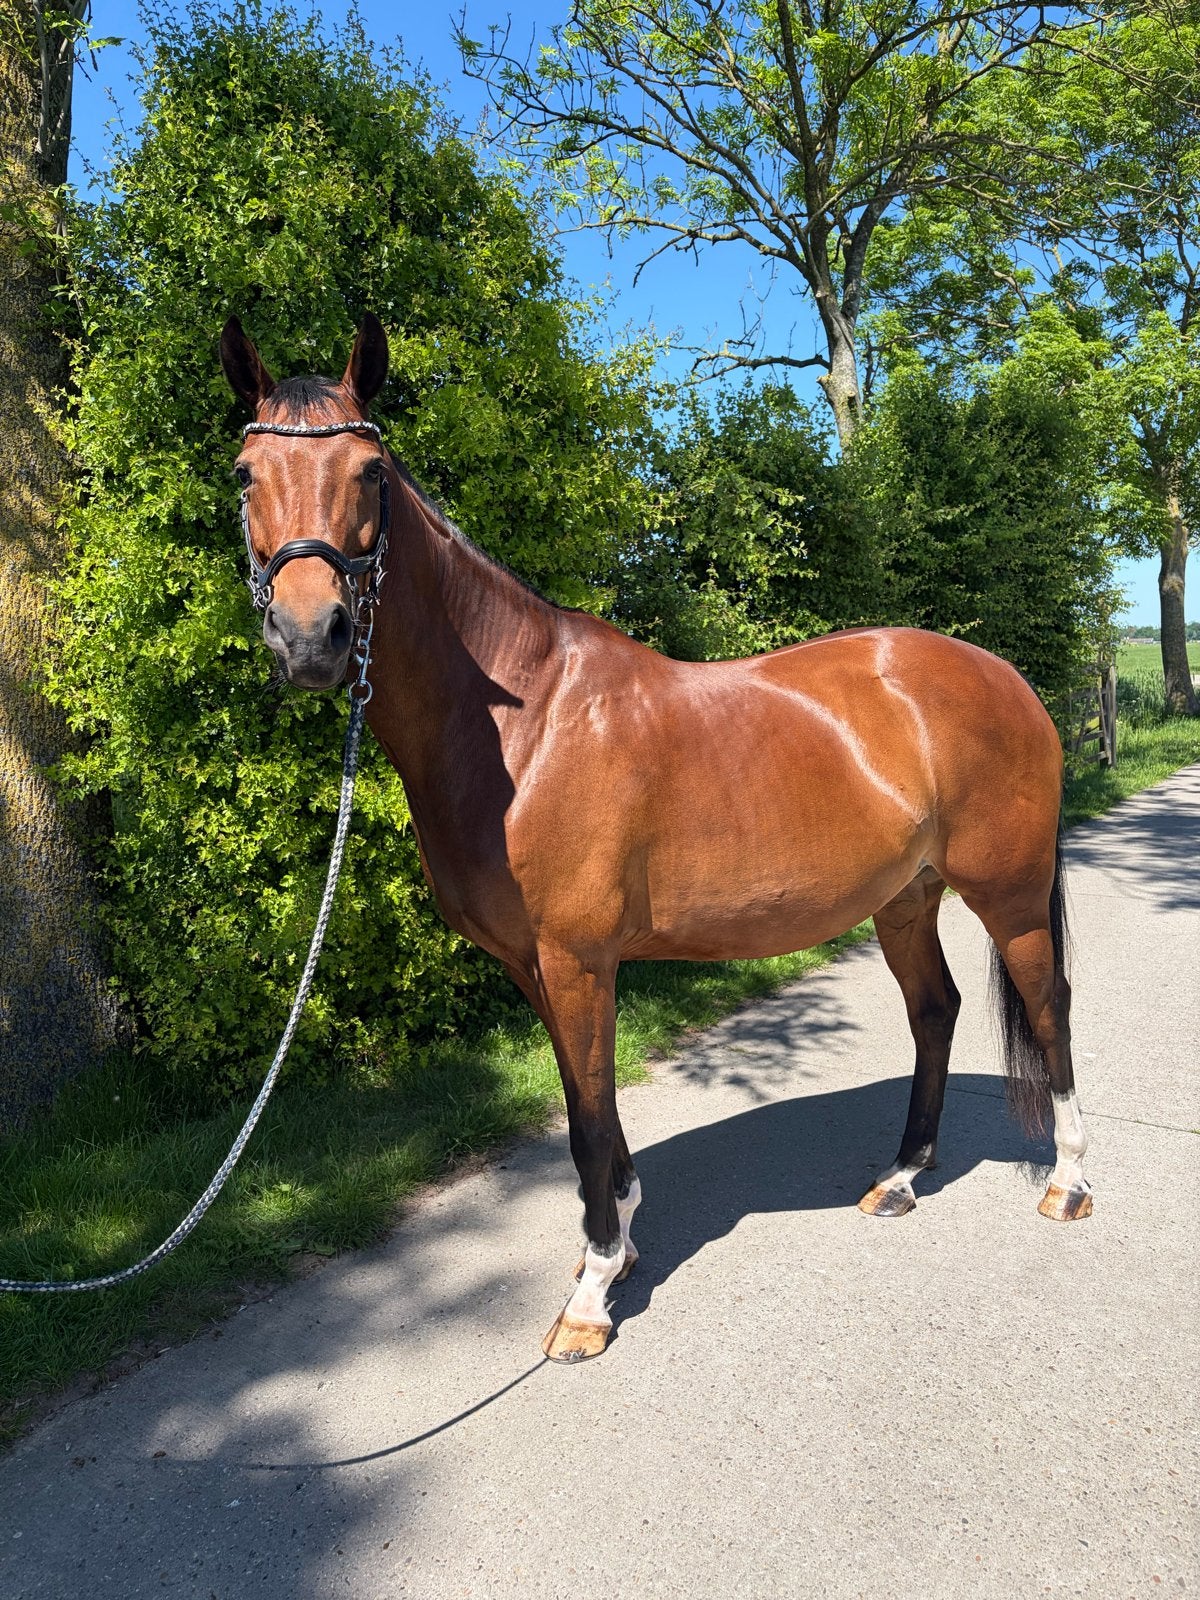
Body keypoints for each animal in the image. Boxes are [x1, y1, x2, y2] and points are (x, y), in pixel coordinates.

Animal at [220, 312, 1092, 1363]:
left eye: (370, 473)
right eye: (245, 472)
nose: (312, 638)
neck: (526, 724)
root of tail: (1006, 678)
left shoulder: (578, 959)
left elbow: (593, 1119)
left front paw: (591, 1296)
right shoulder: (537, 967)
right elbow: (580, 1107)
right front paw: (622, 1242)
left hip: (1008, 893)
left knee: (1049, 1008)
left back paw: (1069, 1183)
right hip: (904, 898)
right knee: (936, 1009)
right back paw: (901, 1178)